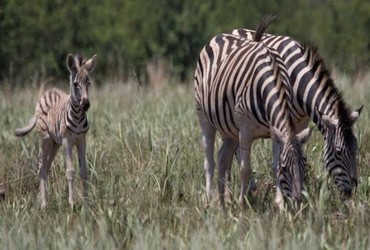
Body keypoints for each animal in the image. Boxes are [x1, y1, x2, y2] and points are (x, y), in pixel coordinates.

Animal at [15, 53, 97, 209]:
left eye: (89, 83)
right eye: (75, 84)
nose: (86, 105)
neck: (78, 116)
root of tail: (48, 92)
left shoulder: (81, 140)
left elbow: (84, 171)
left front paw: (87, 203)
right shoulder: (67, 141)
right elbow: (70, 171)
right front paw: (71, 203)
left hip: (55, 143)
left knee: (46, 167)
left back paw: (42, 200)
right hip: (46, 139)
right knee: (41, 168)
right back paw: (44, 204)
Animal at [195, 19, 310, 209]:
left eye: (304, 166)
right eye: (286, 169)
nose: (297, 203)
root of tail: (219, 36)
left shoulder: (275, 131)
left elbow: (274, 165)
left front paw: (279, 205)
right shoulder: (246, 131)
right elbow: (245, 169)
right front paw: (243, 204)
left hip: (230, 128)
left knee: (222, 158)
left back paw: (223, 203)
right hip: (204, 119)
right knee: (209, 162)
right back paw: (209, 201)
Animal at [230, 17, 362, 198]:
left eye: (356, 149)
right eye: (338, 152)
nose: (351, 193)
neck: (298, 81)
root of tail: (237, 30)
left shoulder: (302, 123)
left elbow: (300, 152)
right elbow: (278, 159)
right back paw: (250, 187)